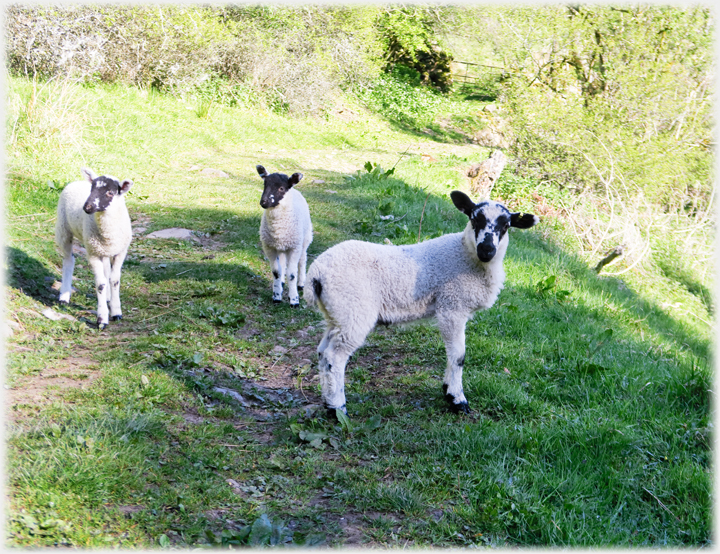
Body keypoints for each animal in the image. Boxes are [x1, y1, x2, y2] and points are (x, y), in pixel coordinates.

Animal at [54, 166, 134, 326]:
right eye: (91, 189)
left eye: (110, 192)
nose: (87, 207)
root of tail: (76, 181)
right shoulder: (92, 253)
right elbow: (101, 284)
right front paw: (102, 318)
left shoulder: (120, 251)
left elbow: (114, 280)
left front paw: (116, 312)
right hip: (63, 229)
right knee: (69, 260)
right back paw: (64, 296)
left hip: (101, 249)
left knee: (106, 270)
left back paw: (108, 298)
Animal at [258, 164, 316, 306]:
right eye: (265, 184)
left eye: (281, 188)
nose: (264, 202)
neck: (278, 228)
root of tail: (294, 189)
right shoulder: (269, 247)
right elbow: (276, 272)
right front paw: (276, 296)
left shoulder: (294, 247)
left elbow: (292, 274)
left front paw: (294, 300)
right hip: (281, 247)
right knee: (283, 264)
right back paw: (282, 283)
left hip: (304, 239)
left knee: (302, 260)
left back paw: (300, 284)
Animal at [302, 190, 536, 414]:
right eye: (474, 218)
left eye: (506, 225)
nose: (487, 250)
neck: (466, 256)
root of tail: (316, 272)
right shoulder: (452, 306)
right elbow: (458, 355)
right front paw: (457, 399)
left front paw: (447, 389)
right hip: (354, 310)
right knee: (335, 357)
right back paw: (338, 408)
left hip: (336, 313)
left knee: (322, 352)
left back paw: (328, 401)